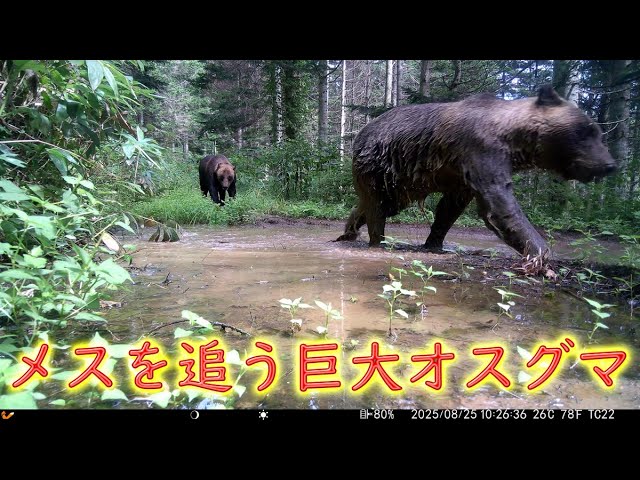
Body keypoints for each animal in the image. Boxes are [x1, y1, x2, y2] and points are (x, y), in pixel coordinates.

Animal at [336, 85, 617, 256]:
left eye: (597, 131)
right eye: (588, 130)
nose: (610, 164)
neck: (513, 138)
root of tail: (360, 132)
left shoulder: (460, 176)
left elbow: (449, 210)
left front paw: (435, 244)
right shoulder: (480, 151)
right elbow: (499, 203)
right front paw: (542, 255)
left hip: (399, 181)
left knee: (378, 205)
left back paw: (347, 232)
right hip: (375, 165)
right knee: (376, 206)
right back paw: (378, 241)